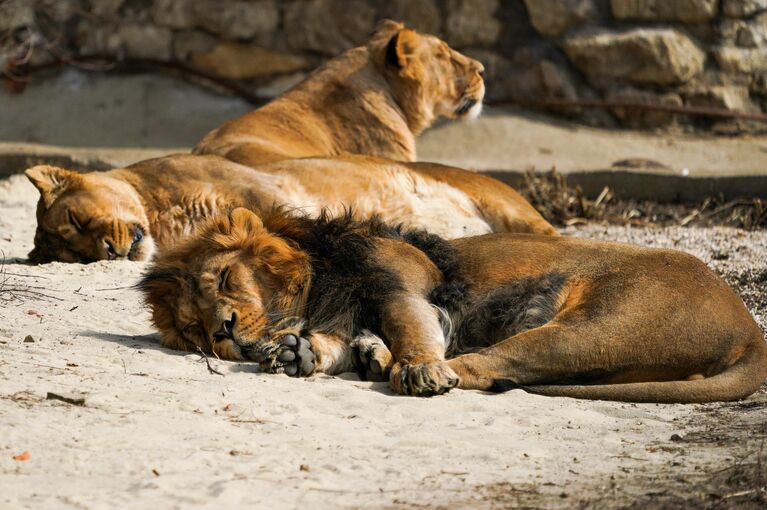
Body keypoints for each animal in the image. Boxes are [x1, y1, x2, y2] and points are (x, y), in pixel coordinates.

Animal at [140, 207, 767, 402]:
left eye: (224, 278)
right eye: (195, 328)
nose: (223, 330)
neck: (319, 288)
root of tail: (749, 326)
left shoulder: (402, 286)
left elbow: (413, 329)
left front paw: (416, 366)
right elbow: (334, 341)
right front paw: (299, 352)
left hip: (593, 325)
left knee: (481, 367)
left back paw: (406, 369)